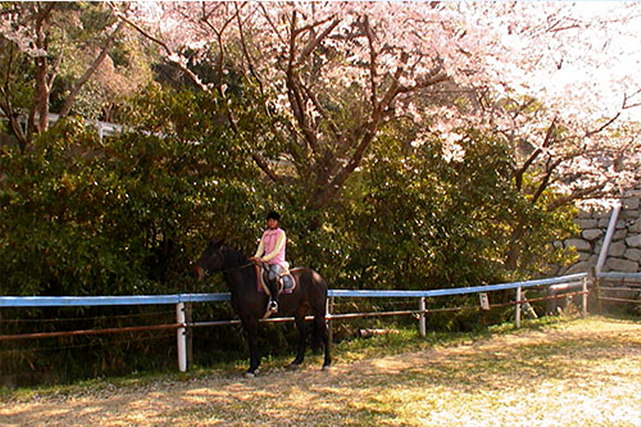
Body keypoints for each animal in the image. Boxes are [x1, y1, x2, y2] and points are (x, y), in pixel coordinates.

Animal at [193, 239, 331, 376]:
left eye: (211, 254)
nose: (197, 271)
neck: (245, 281)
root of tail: (318, 277)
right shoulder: (244, 318)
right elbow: (251, 340)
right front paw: (255, 365)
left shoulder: (251, 318)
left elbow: (253, 340)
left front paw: (252, 368)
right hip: (300, 312)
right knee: (303, 333)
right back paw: (296, 362)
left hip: (319, 311)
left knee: (324, 332)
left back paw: (326, 364)